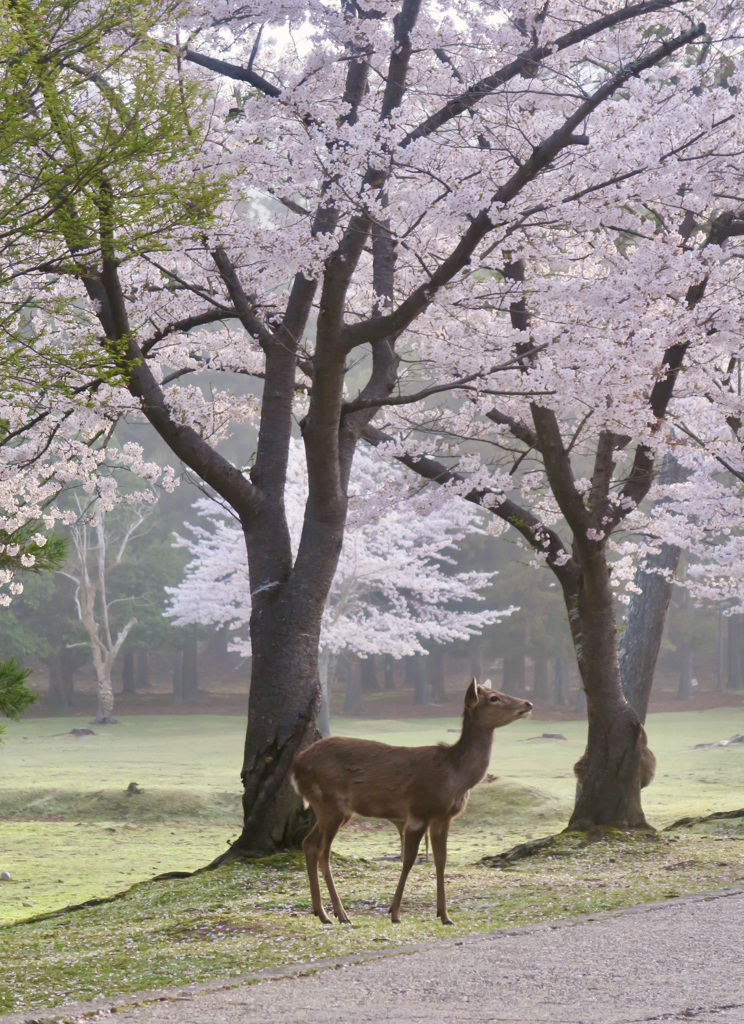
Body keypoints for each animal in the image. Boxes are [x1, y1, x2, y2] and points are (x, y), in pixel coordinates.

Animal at [292, 679, 536, 929]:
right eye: (494, 698)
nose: (528, 704)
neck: (455, 775)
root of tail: (296, 765)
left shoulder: (443, 818)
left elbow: (441, 860)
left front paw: (445, 915)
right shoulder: (418, 811)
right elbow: (408, 860)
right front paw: (395, 913)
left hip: (334, 810)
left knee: (308, 843)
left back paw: (320, 911)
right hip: (331, 804)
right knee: (323, 851)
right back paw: (338, 914)